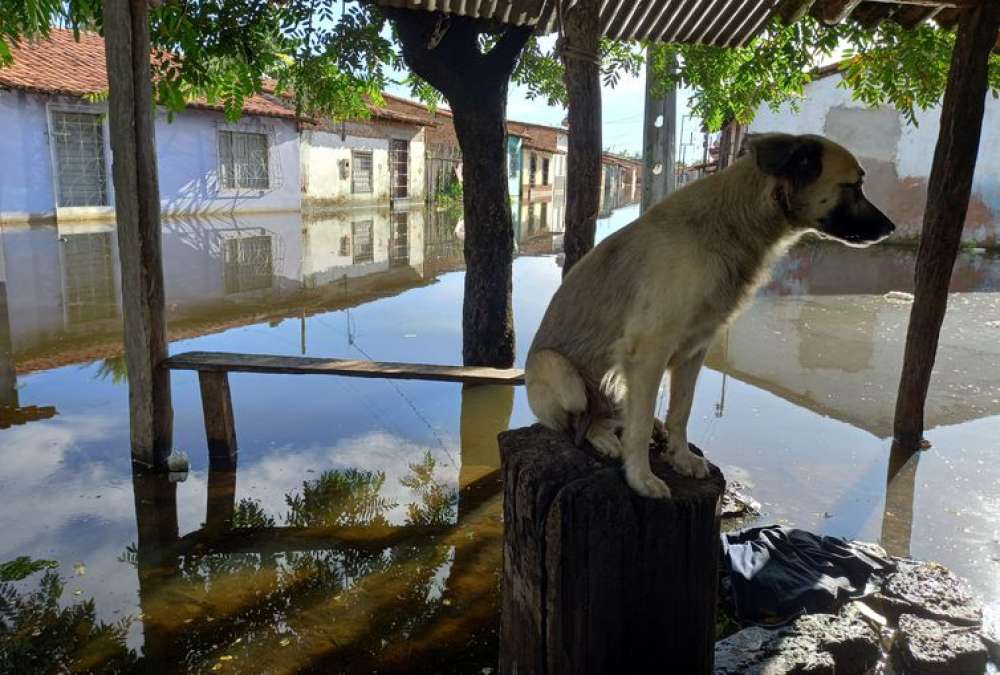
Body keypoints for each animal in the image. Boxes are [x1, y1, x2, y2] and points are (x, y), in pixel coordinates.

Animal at [528, 135, 896, 500]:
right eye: (854, 186)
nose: (891, 229)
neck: (734, 223)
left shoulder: (694, 350)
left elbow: (680, 410)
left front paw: (680, 456)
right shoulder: (648, 351)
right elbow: (640, 423)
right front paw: (640, 477)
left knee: (617, 415)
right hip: (565, 376)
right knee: (583, 422)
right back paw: (604, 437)